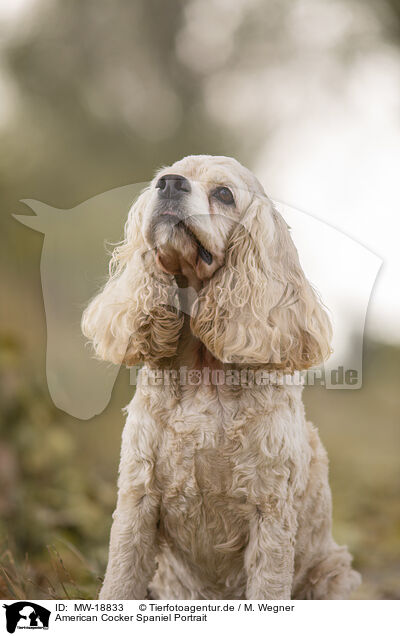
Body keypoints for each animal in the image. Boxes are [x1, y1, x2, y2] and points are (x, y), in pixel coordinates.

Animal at [82, 154, 362, 600]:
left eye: (224, 194)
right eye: (164, 178)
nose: (169, 184)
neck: (204, 372)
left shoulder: (270, 512)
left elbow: (269, 590)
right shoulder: (137, 497)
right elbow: (120, 583)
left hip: (334, 574)